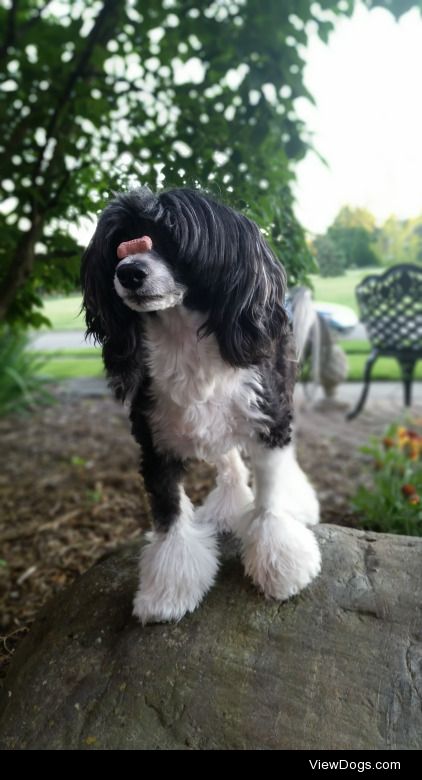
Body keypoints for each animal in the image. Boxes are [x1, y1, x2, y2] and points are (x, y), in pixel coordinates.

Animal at [81, 186, 320, 624]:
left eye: (173, 238)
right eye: (120, 244)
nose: (128, 272)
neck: (184, 347)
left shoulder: (267, 416)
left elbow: (270, 493)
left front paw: (280, 560)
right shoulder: (154, 438)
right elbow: (169, 511)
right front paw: (168, 589)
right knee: (227, 459)